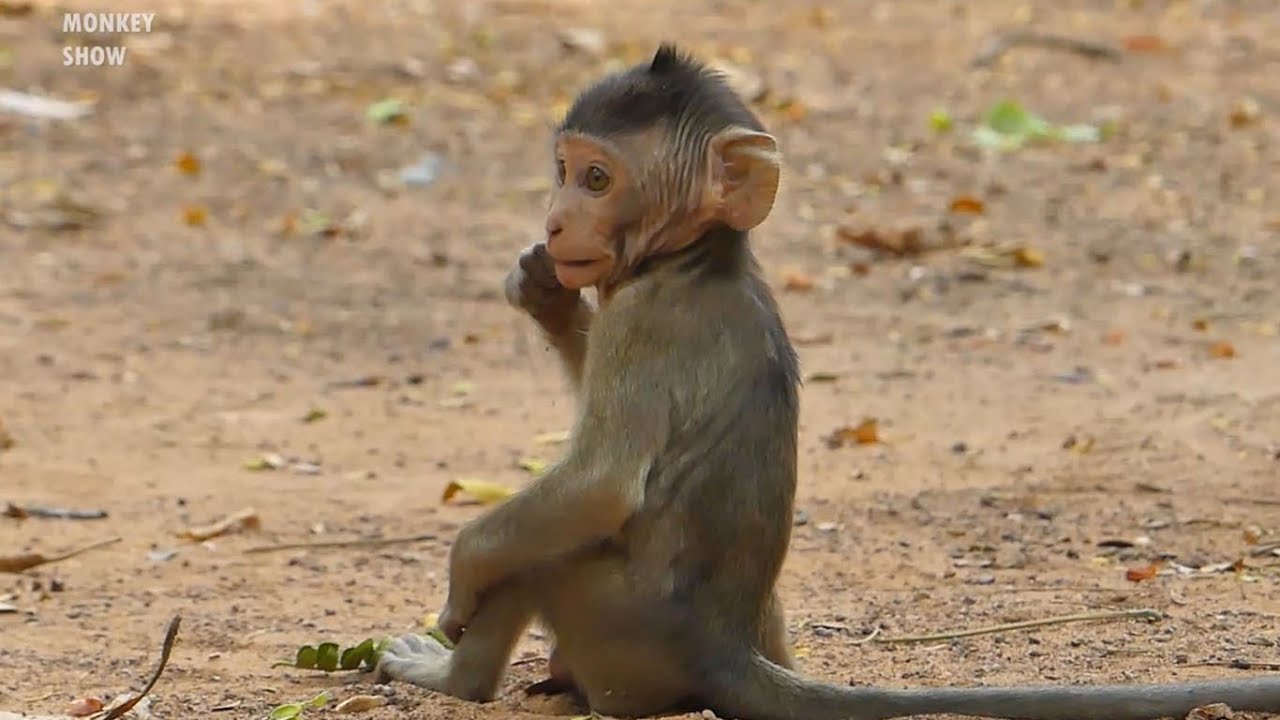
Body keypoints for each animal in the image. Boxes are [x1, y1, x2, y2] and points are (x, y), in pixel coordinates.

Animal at [375, 44, 1280, 720]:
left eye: (596, 179)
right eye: (561, 169)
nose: (557, 221)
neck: (699, 259)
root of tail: (723, 647)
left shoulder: (644, 322)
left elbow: (599, 485)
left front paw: (461, 578)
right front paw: (547, 298)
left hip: (613, 630)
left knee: (550, 548)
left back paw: (455, 679)